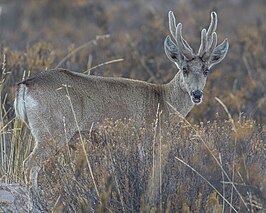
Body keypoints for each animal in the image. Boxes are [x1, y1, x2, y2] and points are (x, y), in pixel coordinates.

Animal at [14, 10, 229, 187]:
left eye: (206, 70)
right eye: (184, 69)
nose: (197, 94)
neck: (163, 101)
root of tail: (26, 85)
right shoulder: (147, 137)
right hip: (53, 130)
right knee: (30, 164)